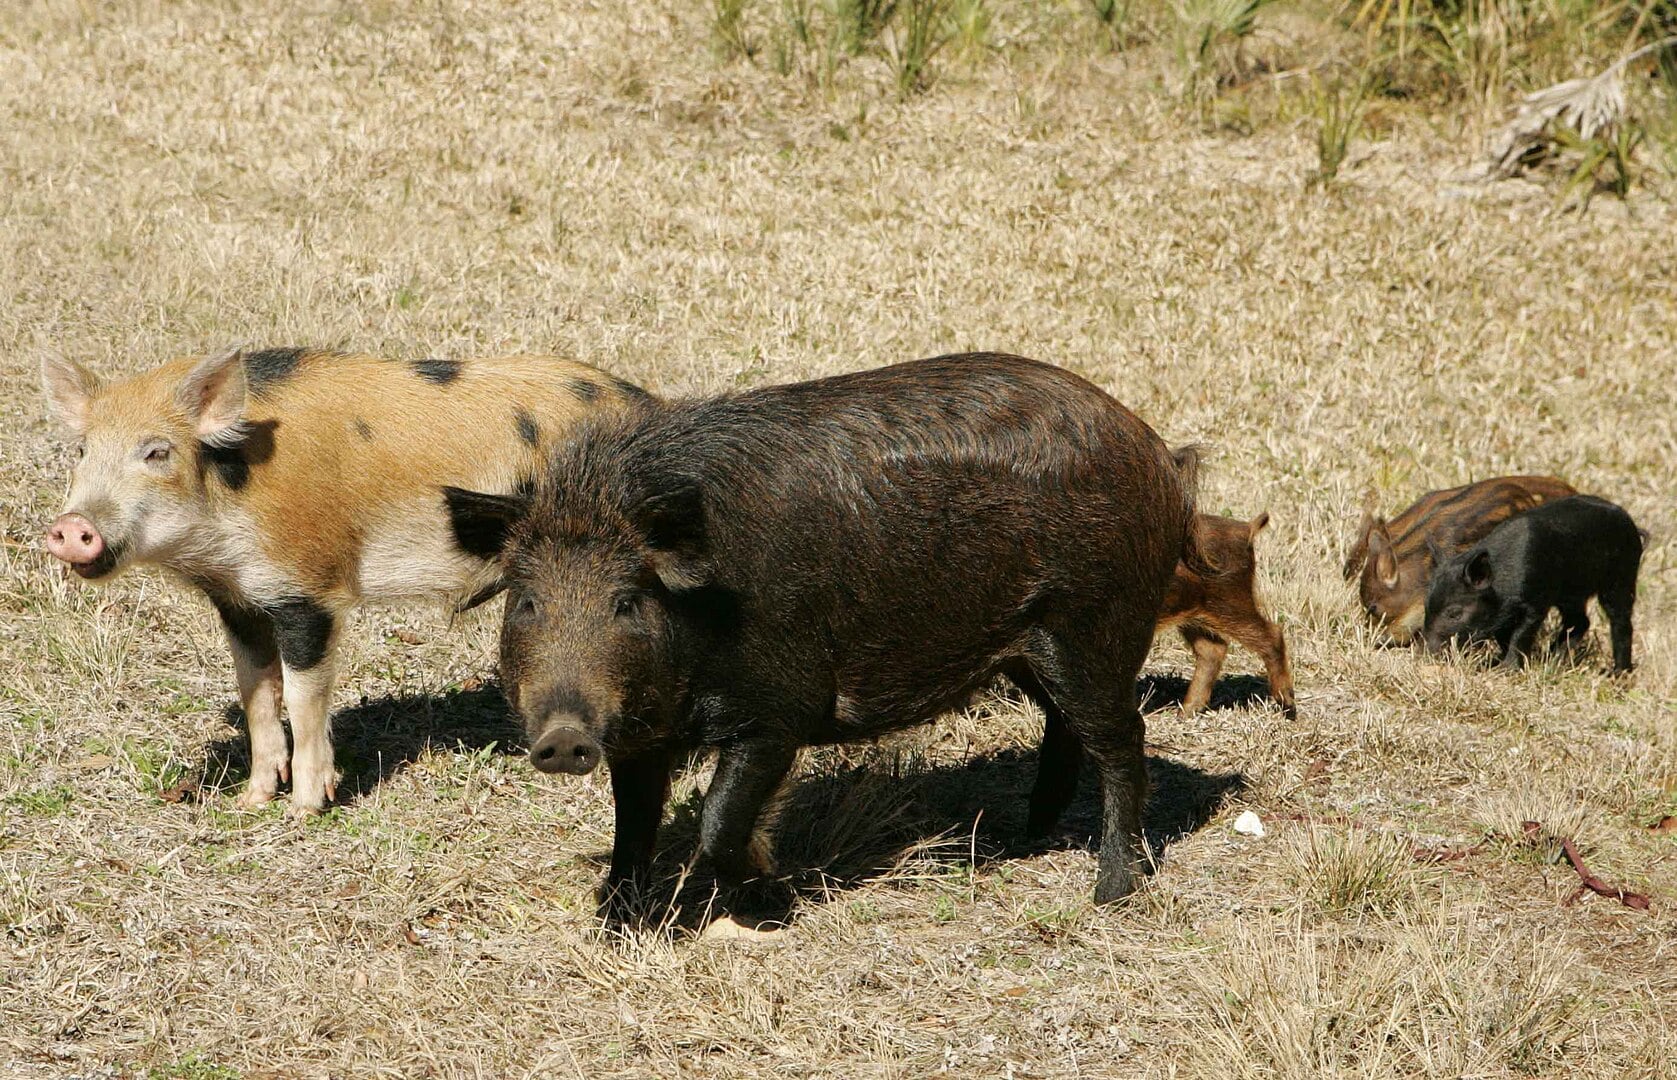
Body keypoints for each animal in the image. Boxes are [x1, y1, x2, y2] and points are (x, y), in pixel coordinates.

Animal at [41, 345, 649, 814]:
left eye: (156, 451)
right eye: (82, 450)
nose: (71, 527)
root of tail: (648, 404)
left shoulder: (308, 590)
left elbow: (304, 696)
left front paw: (306, 809)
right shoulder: (238, 600)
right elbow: (256, 691)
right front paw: (250, 803)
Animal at [446, 352, 1198, 915]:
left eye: (627, 601)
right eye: (527, 602)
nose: (563, 737)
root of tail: (1159, 453)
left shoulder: (781, 710)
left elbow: (719, 819)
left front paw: (770, 895)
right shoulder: (640, 734)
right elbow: (632, 822)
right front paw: (617, 918)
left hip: (1096, 627)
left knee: (1122, 739)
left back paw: (1110, 892)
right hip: (1028, 650)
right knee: (1065, 728)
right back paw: (1025, 836)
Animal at [1157, 511, 1295, 719]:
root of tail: (1247, 529)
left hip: (1231, 602)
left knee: (1272, 634)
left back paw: (1288, 708)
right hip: (1198, 614)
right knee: (1213, 648)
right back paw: (1186, 713)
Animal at [1421, 494, 1643, 672]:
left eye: (1454, 613)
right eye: (1426, 606)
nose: (1427, 652)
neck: (1502, 587)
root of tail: (1632, 525)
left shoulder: (1536, 602)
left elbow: (1521, 634)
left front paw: (1507, 669)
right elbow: (1504, 636)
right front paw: (1497, 663)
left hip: (1622, 577)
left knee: (1620, 620)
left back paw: (1616, 674)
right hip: (1571, 594)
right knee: (1580, 621)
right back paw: (1553, 659)